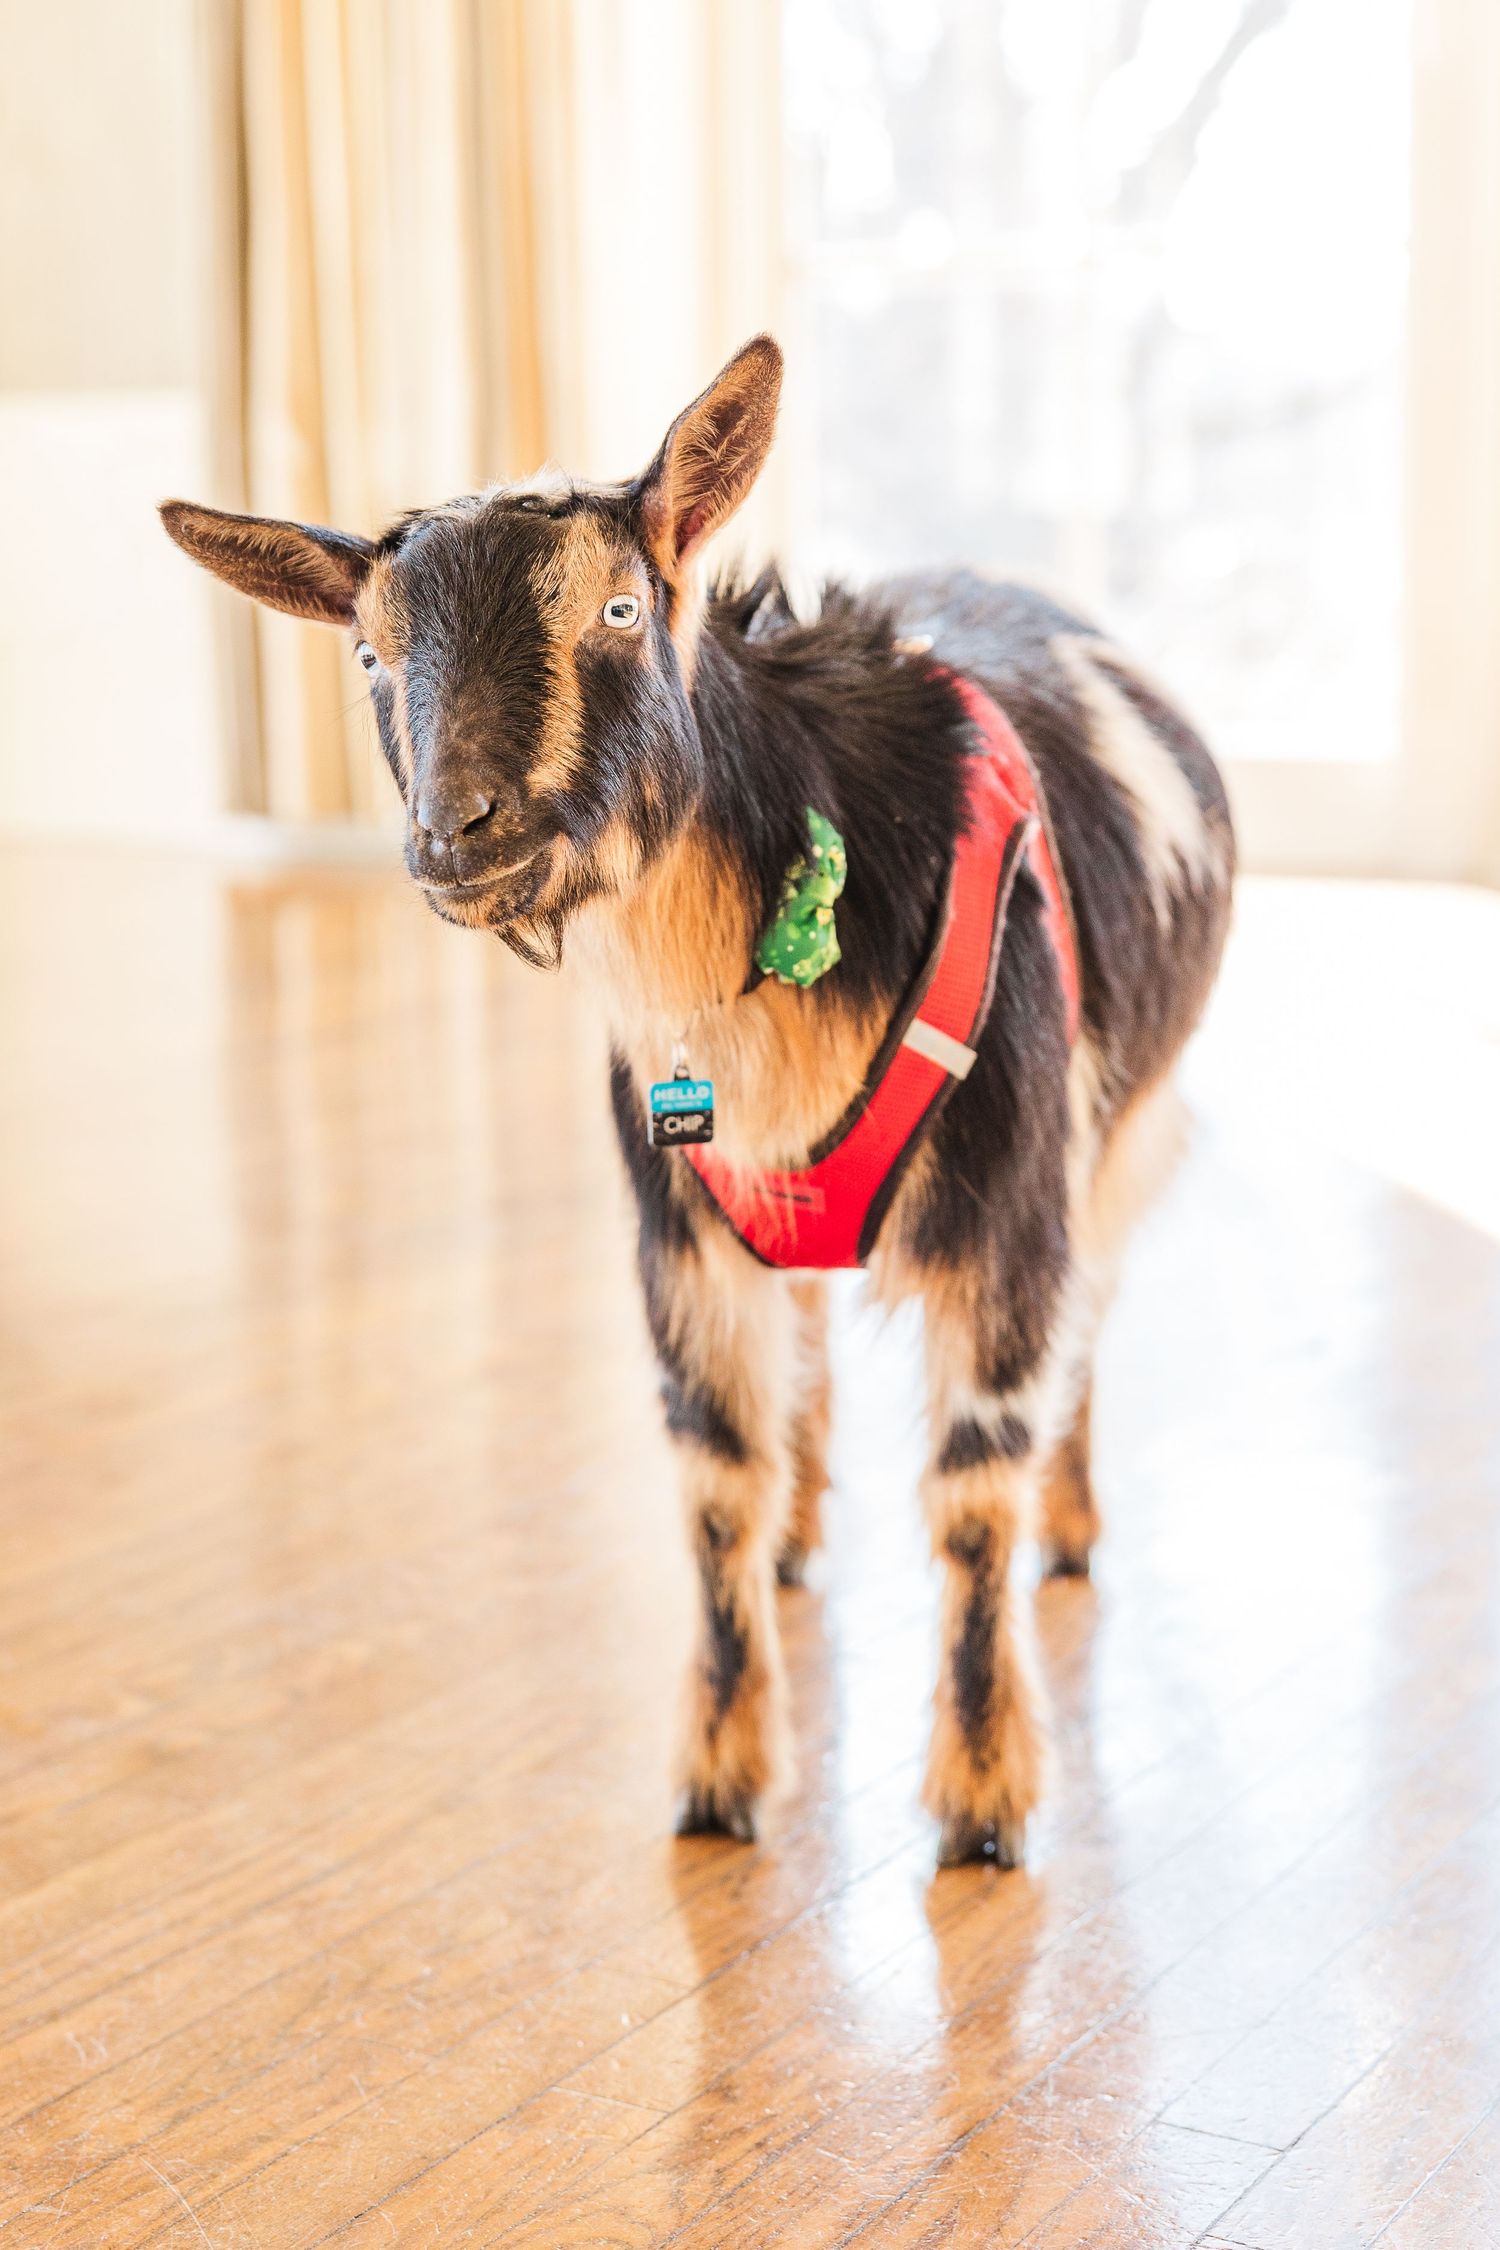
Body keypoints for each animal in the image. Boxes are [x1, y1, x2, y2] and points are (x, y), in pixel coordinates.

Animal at [161, 336, 1234, 1866]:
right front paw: (720, 1778)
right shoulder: (679, 1224)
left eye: (618, 606)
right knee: (809, 1352)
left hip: (1125, 1136)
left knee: (1092, 1314)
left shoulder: (1011, 1207)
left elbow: (976, 1483)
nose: (457, 832)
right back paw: (803, 1529)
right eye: (369, 650)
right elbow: (718, 1476)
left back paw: (1071, 1518)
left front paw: (983, 1799)